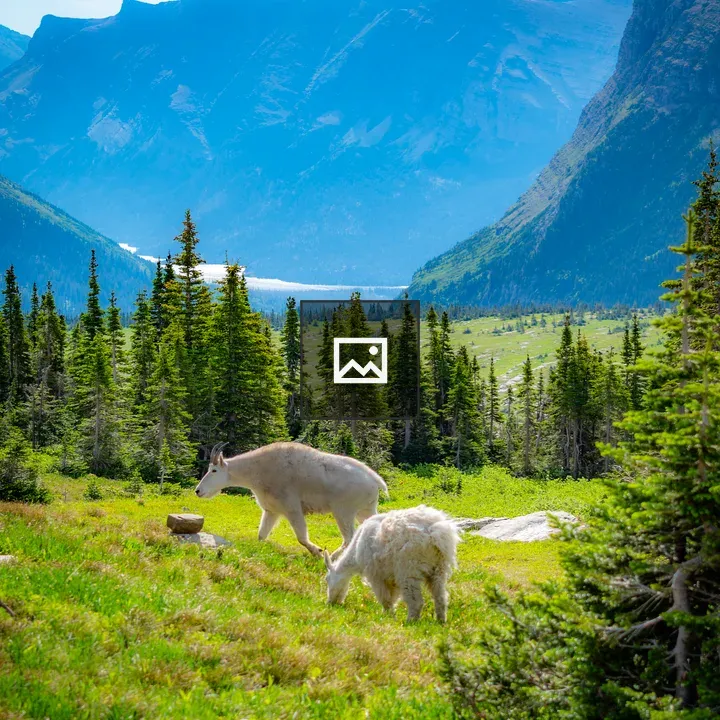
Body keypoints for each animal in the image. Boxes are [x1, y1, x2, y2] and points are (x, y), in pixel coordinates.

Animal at [195, 442, 388, 558]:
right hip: (365, 510)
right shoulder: (271, 511)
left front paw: (318, 552)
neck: (258, 471)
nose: (198, 491)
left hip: (343, 511)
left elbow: (301, 537)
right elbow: (261, 535)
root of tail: (375, 480)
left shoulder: (292, 508)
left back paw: (332, 557)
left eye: (214, 470)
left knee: (349, 538)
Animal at [323, 504, 460, 623]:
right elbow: (393, 597)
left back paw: (410, 622)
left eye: (327, 579)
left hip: (408, 569)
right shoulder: (390, 577)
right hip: (439, 568)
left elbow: (385, 598)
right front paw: (389, 615)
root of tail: (435, 533)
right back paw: (441, 621)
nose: (331, 603)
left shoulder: (376, 575)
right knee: (441, 597)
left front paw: (387, 617)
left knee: (416, 601)